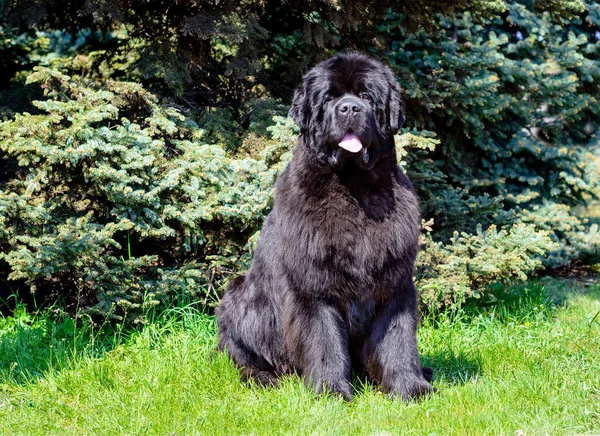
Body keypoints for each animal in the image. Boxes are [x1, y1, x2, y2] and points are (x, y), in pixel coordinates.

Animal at [218, 52, 434, 400]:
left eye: (366, 96)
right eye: (330, 97)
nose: (349, 109)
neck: (355, 189)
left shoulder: (394, 284)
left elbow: (398, 340)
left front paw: (410, 386)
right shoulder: (314, 286)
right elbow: (324, 340)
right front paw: (331, 391)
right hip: (238, 299)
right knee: (241, 356)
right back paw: (265, 378)